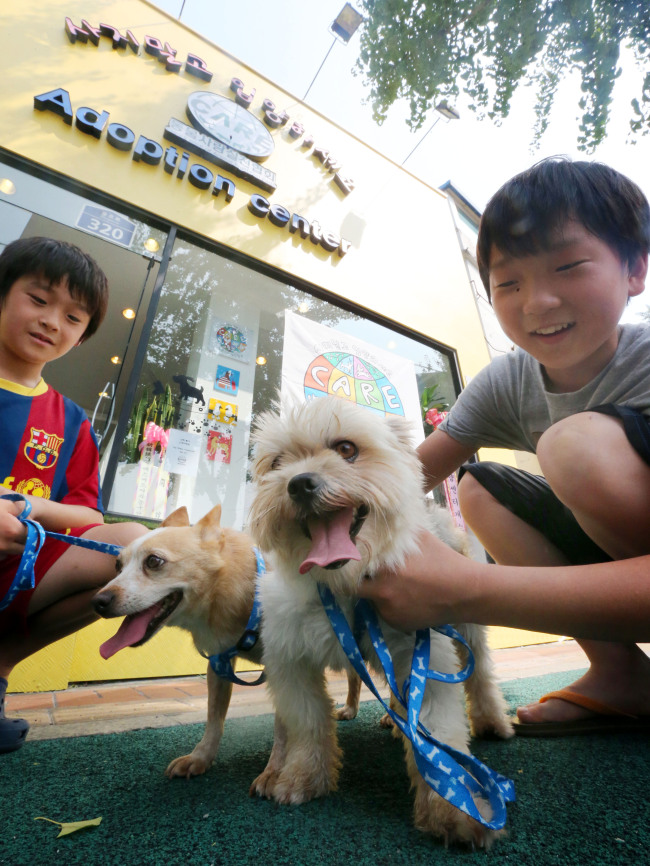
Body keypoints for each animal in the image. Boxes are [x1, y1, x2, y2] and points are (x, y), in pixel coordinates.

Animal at [247, 396, 512, 844]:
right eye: (277, 463)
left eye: (346, 449)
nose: (298, 483)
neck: (344, 587)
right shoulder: (290, 660)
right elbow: (306, 725)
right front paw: (302, 779)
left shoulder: (426, 652)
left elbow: (436, 729)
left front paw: (453, 806)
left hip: (467, 627)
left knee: (481, 674)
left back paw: (493, 721)